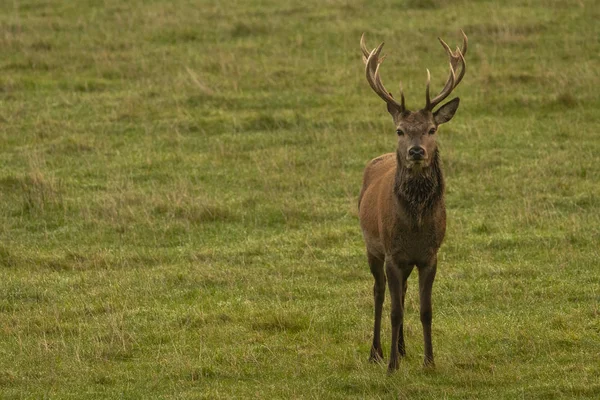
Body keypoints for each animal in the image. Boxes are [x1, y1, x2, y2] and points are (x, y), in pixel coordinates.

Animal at [358, 31, 466, 372]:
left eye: (432, 129)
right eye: (400, 130)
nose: (416, 151)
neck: (416, 225)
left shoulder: (430, 256)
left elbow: (425, 310)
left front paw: (429, 362)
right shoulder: (393, 253)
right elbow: (394, 311)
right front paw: (392, 366)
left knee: (403, 294)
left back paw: (404, 349)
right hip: (372, 247)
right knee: (379, 294)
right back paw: (377, 352)